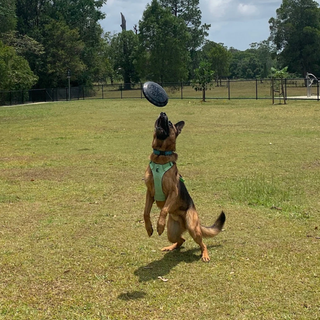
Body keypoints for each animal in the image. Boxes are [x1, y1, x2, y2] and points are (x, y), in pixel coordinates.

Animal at [144, 112, 226, 262]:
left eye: (169, 123)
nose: (162, 113)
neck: (160, 156)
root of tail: (182, 221)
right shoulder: (149, 193)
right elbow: (145, 213)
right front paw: (149, 228)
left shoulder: (173, 192)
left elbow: (164, 210)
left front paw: (159, 225)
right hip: (172, 232)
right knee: (181, 240)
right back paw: (170, 247)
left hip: (193, 228)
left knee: (202, 243)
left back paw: (205, 255)